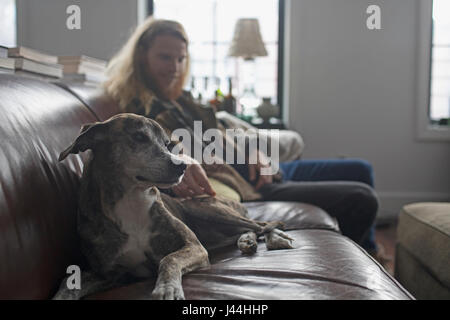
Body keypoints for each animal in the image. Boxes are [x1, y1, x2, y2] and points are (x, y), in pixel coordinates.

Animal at [52, 113, 294, 300]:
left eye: (167, 144)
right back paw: (247, 240)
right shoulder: (109, 273)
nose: (182, 166)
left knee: (263, 223)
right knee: (251, 227)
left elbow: (169, 259)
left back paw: (276, 238)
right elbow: (68, 285)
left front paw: (167, 288)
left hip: (206, 209)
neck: (131, 198)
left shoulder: (194, 246)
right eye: (138, 137)